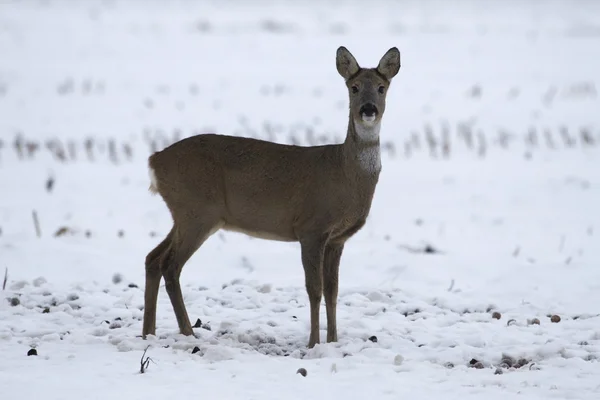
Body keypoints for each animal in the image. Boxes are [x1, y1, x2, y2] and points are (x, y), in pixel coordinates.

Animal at [142, 46, 400, 346]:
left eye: (382, 87)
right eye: (354, 87)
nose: (368, 110)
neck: (346, 174)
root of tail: (154, 161)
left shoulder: (337, 238)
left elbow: (333, 290)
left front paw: (333, 341)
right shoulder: (311, 228)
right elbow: (314, 289)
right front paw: (313, 343)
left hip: (185, 215)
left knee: (153, 258)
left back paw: (148, 332)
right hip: (197, 212)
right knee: (170, 265)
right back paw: (187, 332)